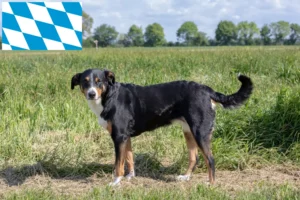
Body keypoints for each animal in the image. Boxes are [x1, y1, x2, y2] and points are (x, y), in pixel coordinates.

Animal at [71, 69, 253, 186]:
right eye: (84, 82)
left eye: (99, 82)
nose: (91, 94)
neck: (109, 97)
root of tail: (207, 90)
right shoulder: (125, 137)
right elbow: (129, 159)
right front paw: (130, 177)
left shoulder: (119, 136)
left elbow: (118, 164)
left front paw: (116, 182)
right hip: (188, 132)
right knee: (194, 158)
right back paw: (185, 178)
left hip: (200, 132)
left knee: (210, 159)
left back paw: (211, 184)